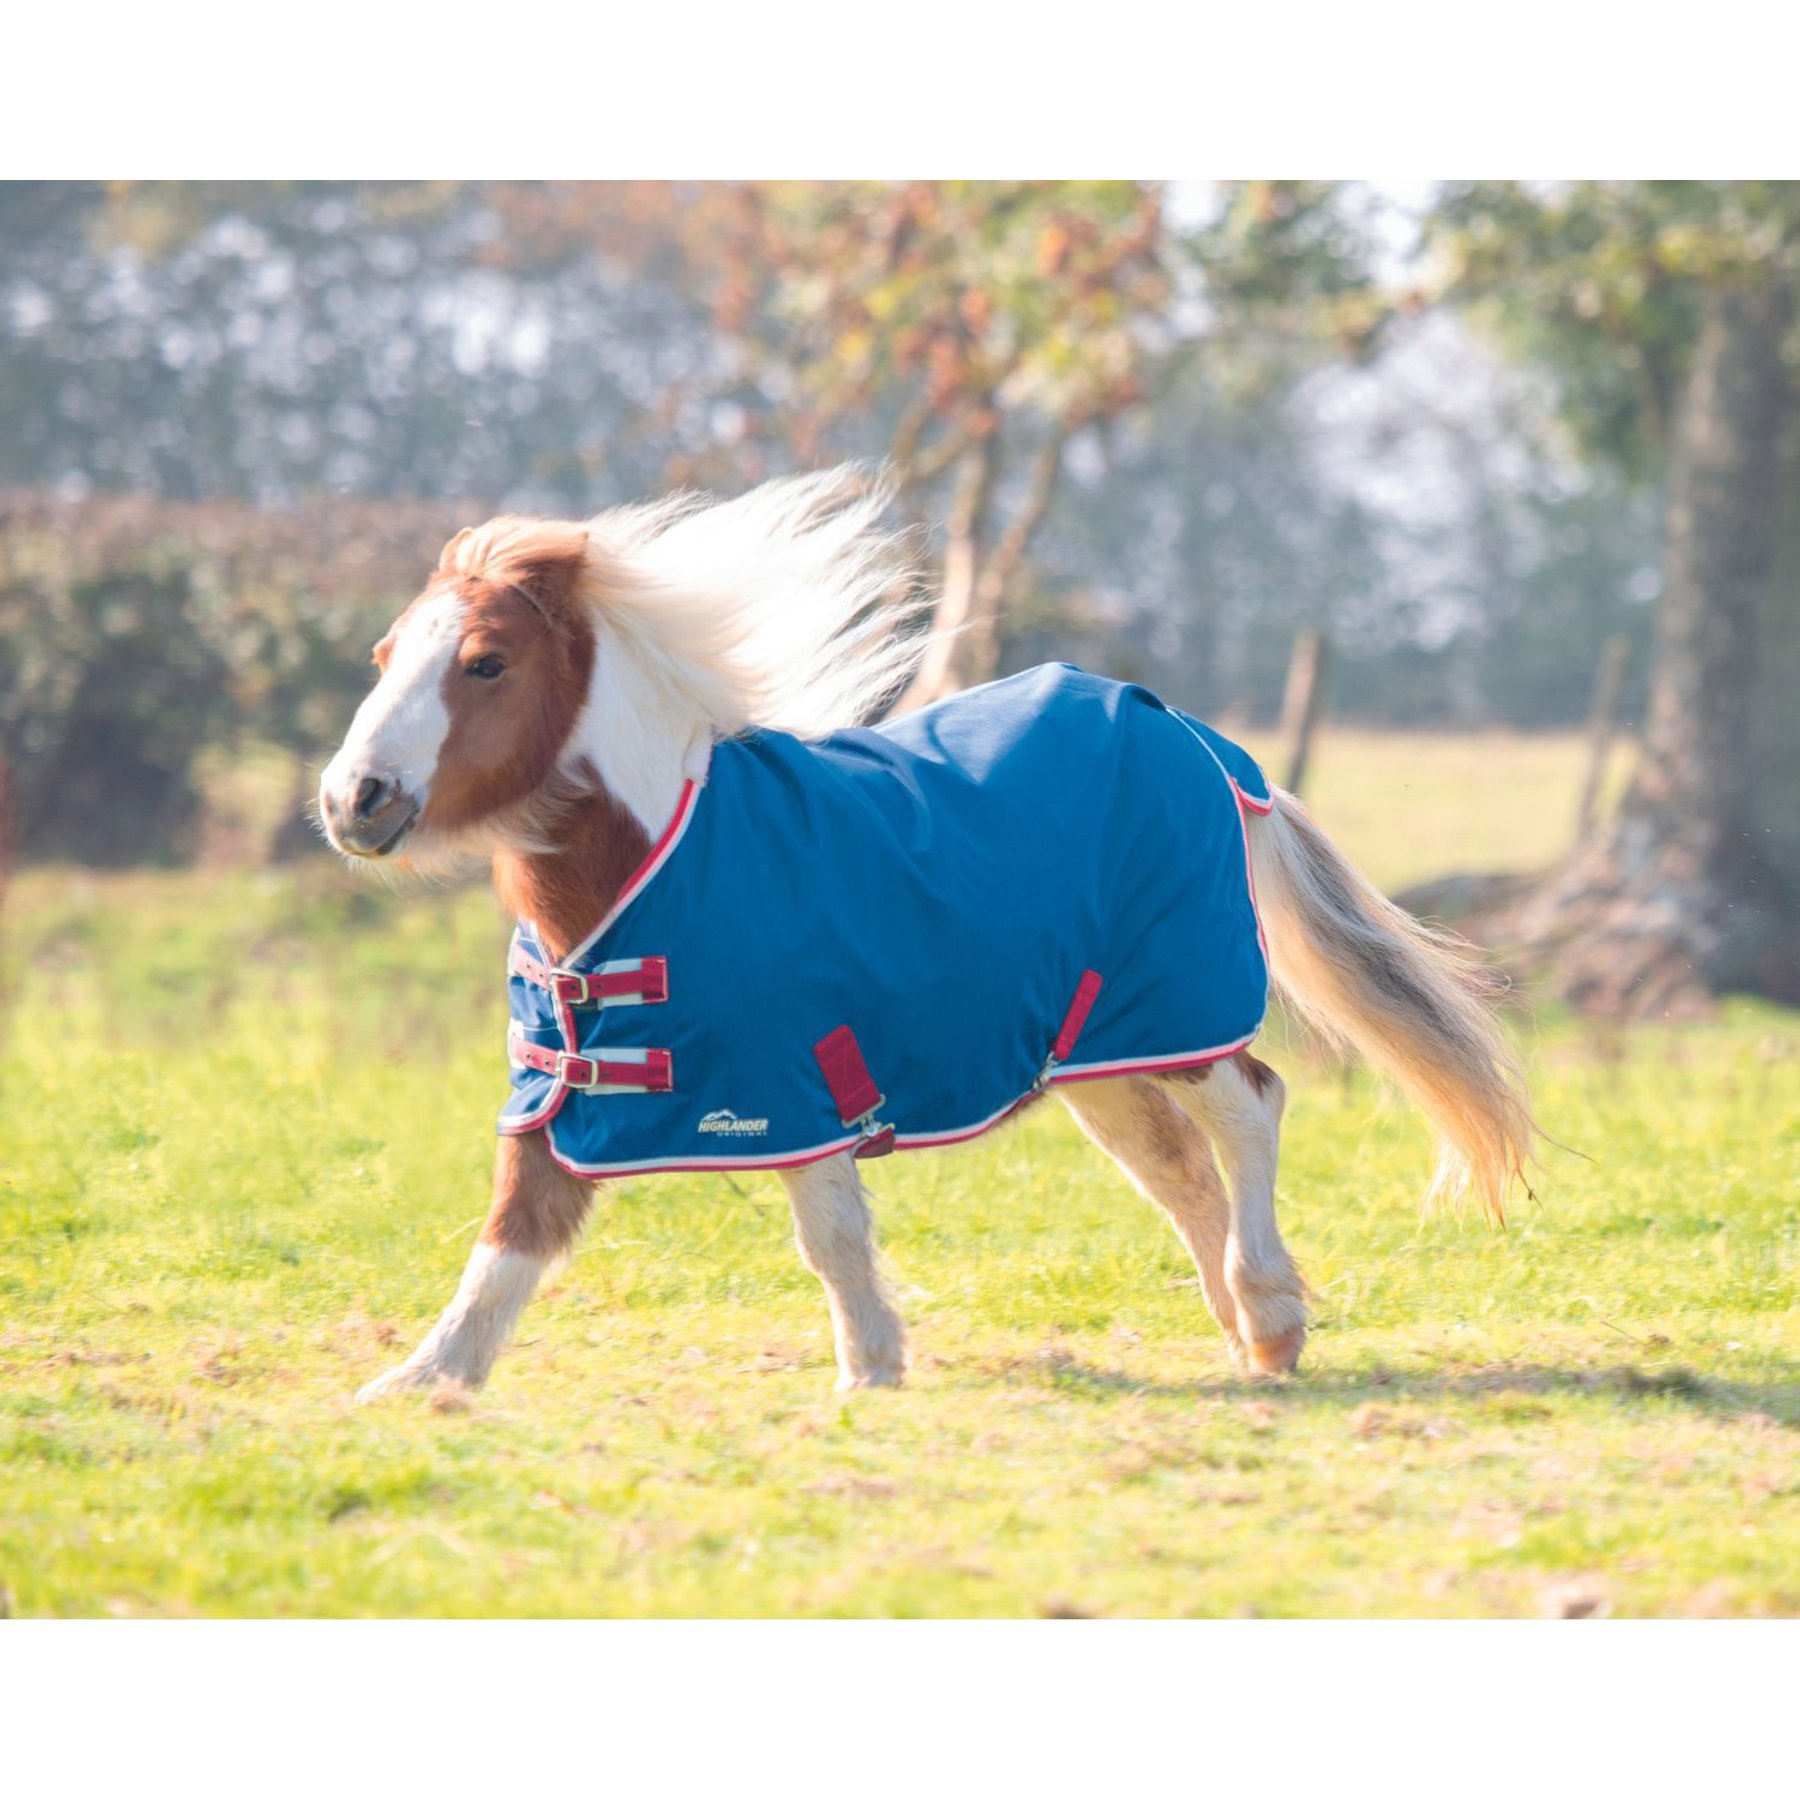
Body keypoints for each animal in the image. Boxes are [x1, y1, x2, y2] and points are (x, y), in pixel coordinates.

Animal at [318, 467, 1535, 1402]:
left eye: (486, 661)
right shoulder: (562, 1086)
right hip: (1096, 1047)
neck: (652, 868)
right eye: (383, 656)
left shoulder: (788, 1084)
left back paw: (1272, 1316)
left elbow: (829, 1234)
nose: (353, 800)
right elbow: (509, 1239)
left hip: (1177, 1003)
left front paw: (869, 1374)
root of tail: (1196, 737)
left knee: (1250, 1110)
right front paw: (418, 1384)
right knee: (1177, 1166)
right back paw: (1241, 1330)